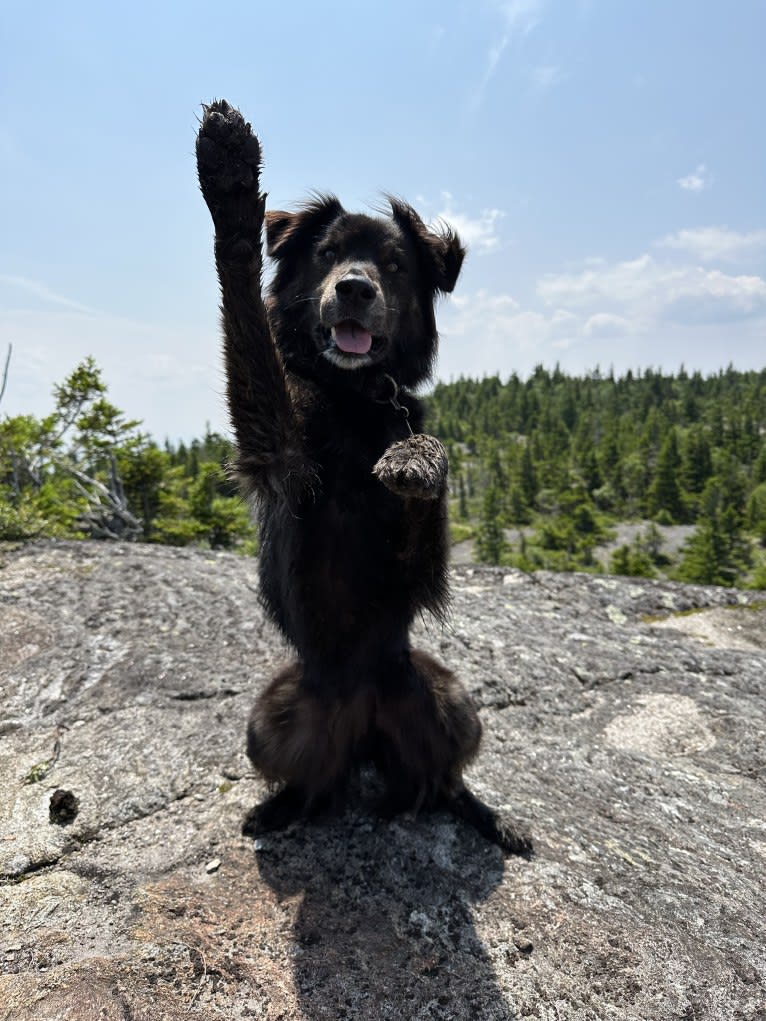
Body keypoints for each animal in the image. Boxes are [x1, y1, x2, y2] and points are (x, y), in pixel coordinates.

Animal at [195, 101, 531, 853]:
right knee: (309, 779)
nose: (354, 288)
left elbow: (428, 461)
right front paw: (229, 183)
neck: (352, 396)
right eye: (326, 254)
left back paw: (488, 815)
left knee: (446, 776)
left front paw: (414, 460)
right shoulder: (280, 454)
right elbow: (249, 323)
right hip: (272, 715)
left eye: (396, 264)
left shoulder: (416, 564)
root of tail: (365, 732)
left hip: (448, 696)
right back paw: (281, 809)